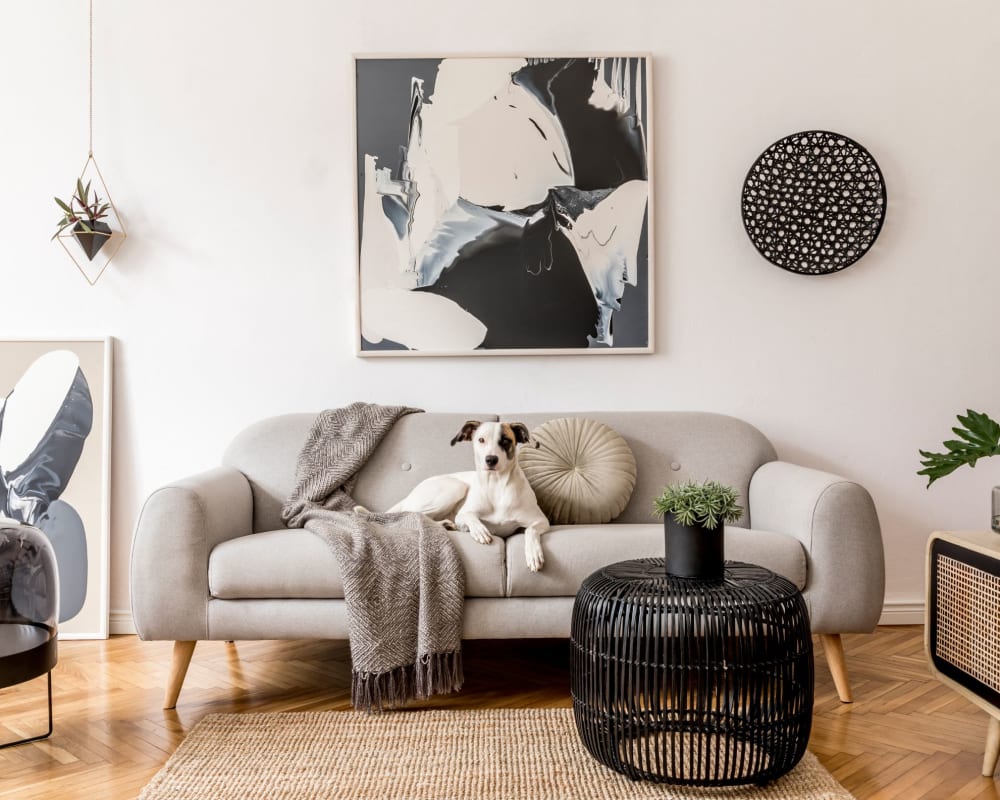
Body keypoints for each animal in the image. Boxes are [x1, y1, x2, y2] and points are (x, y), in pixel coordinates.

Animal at [358, 422, 552, 572]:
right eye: (481, 440)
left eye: (505, 440)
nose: (491, 459)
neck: (496, 485)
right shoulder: (463, 515)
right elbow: (471, 517)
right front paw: (479, 530)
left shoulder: (541, 521)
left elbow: (530, 530)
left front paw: (534, 554)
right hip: (455, 487)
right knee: (410, 515)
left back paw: (445, 524)